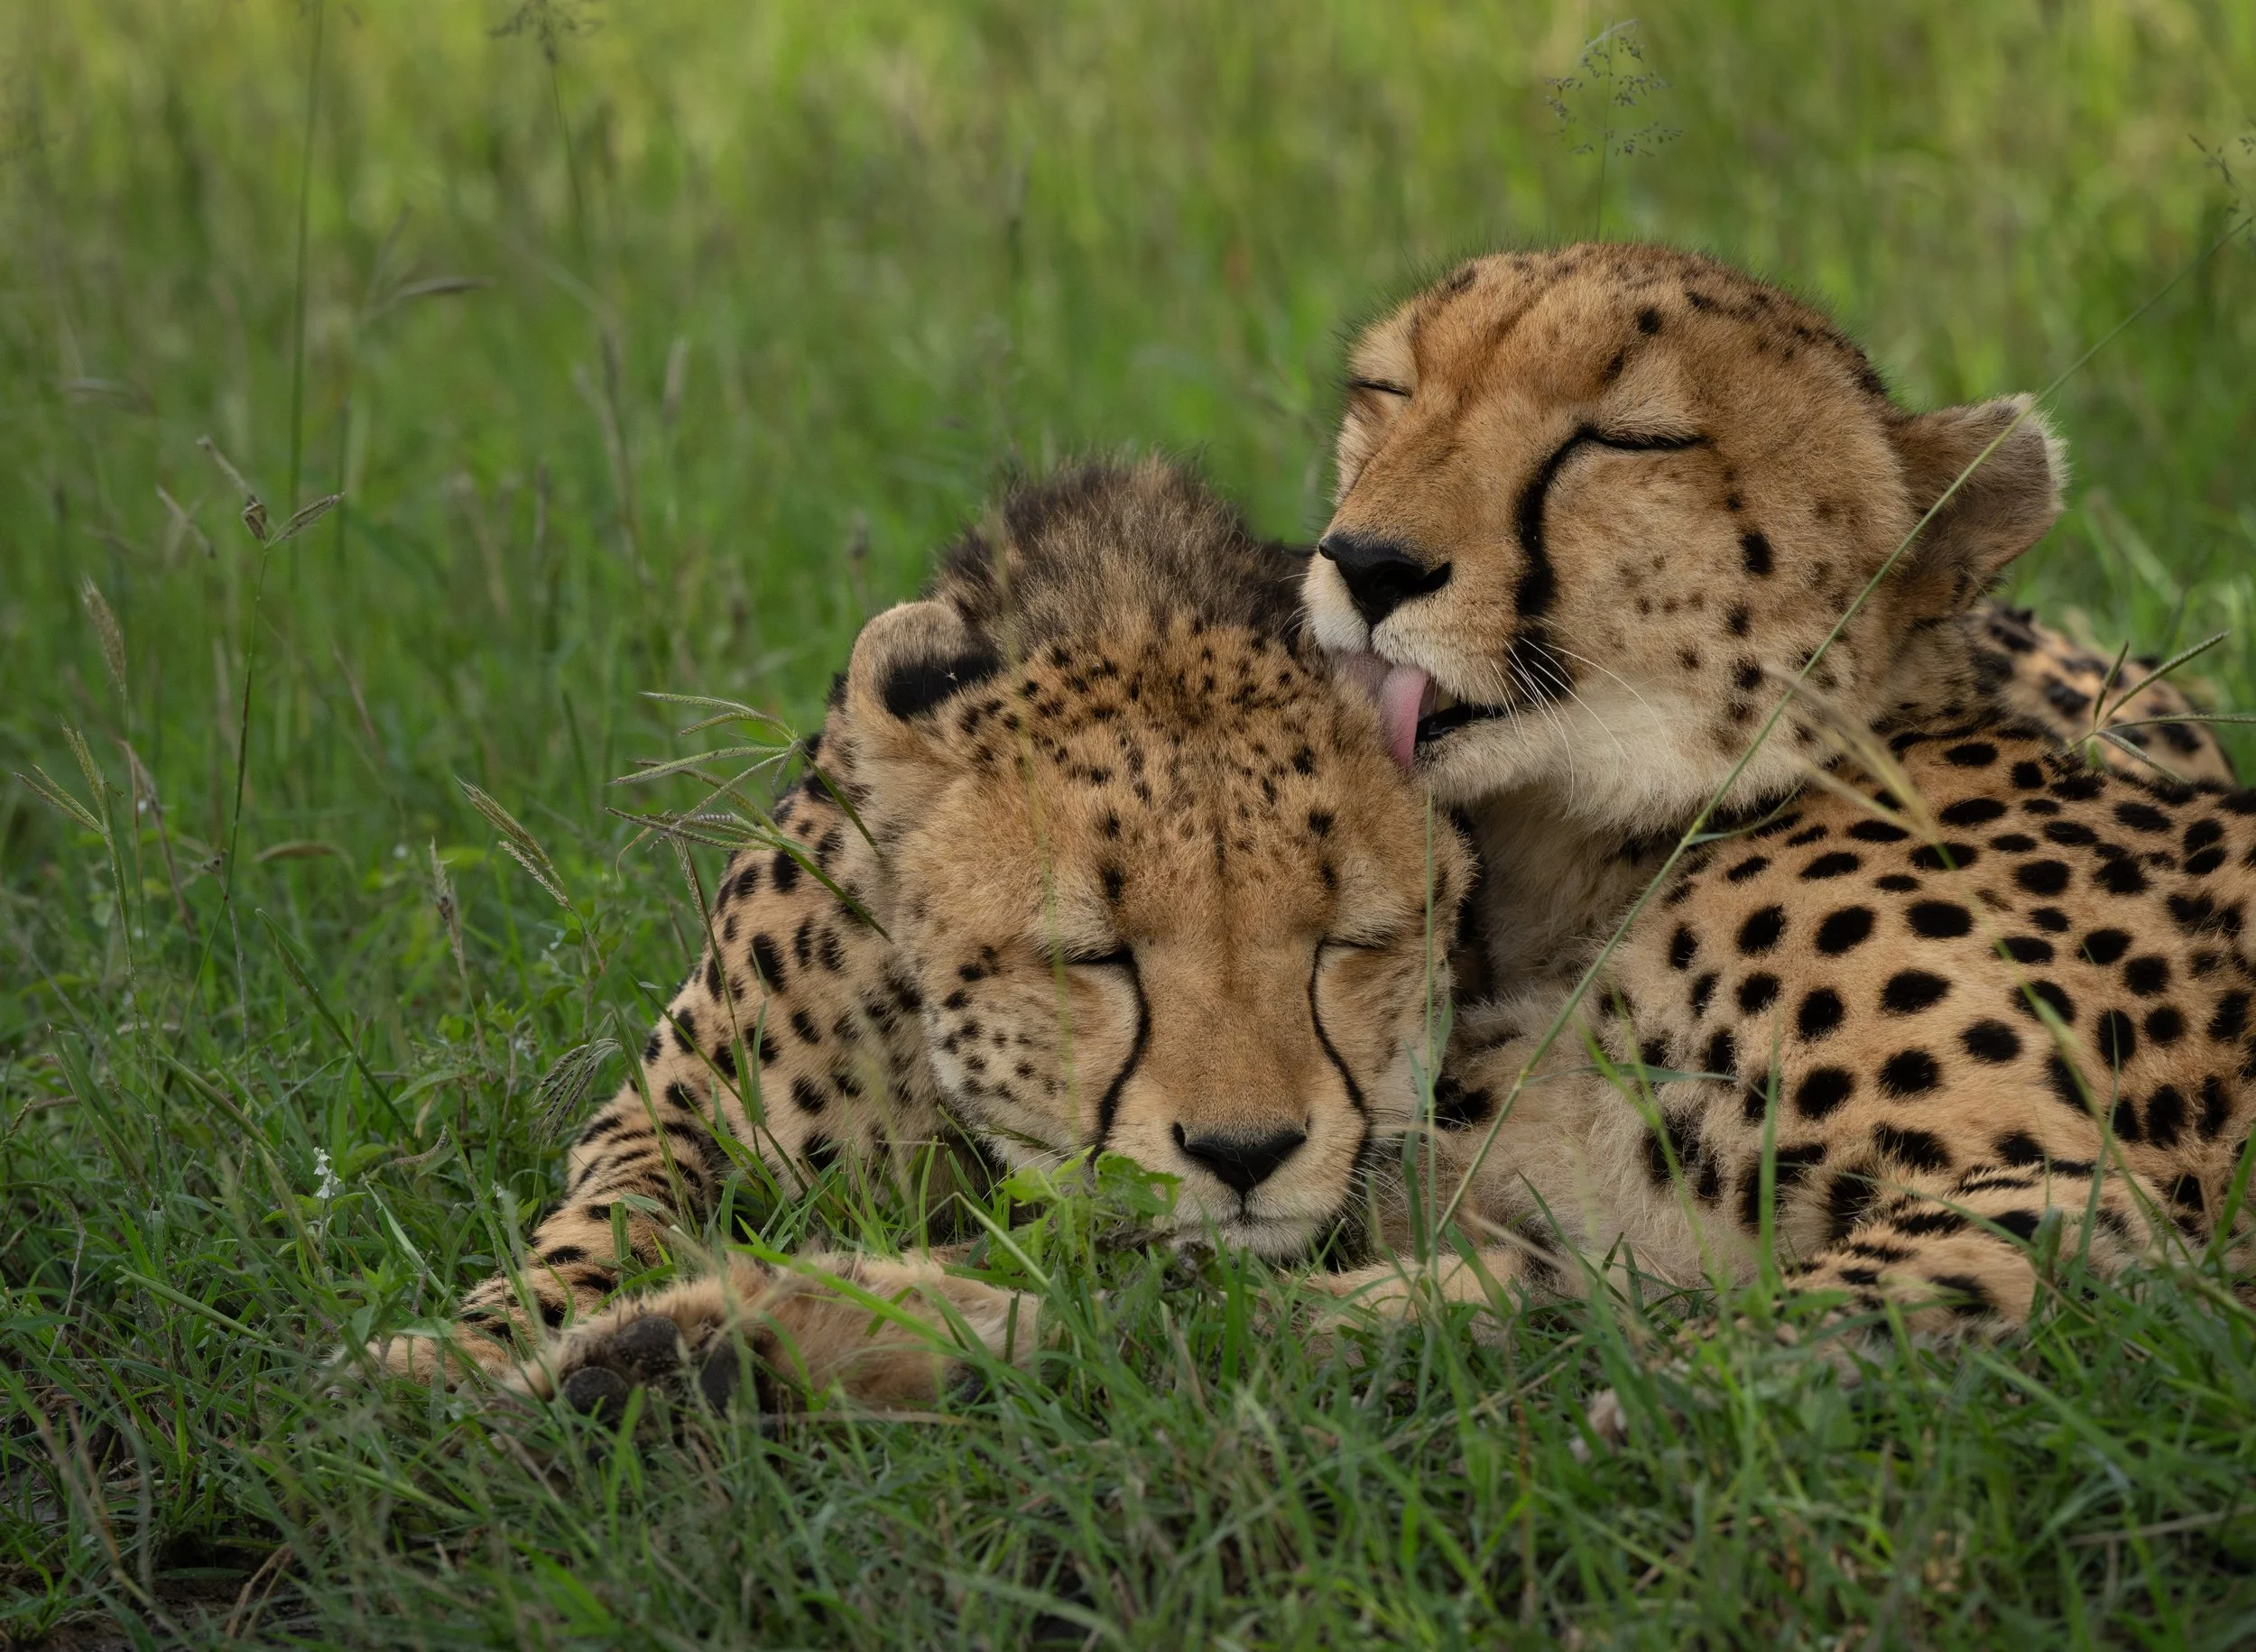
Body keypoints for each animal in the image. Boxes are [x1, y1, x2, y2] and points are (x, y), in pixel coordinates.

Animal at [374, 459, 1473, 1413]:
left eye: (1348, 943)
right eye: (1096, 956)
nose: (1245, 1155)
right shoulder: (667, 1111)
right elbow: (604, 1220)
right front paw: (455, 1353)